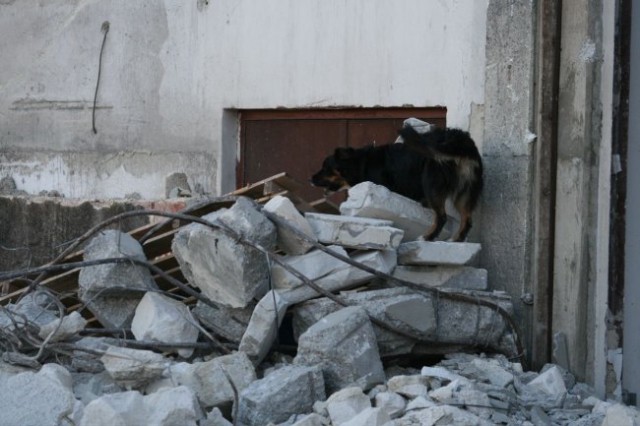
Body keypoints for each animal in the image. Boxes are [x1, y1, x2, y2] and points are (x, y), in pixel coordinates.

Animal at [312, 125, 482, 241]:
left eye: (325, 168)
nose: (310, 179)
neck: (362, 163)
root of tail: (460, 140)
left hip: (431, 183)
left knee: (442, 216)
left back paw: (427, 237)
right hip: (466, 191)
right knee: (467, 220)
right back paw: (457, 239)